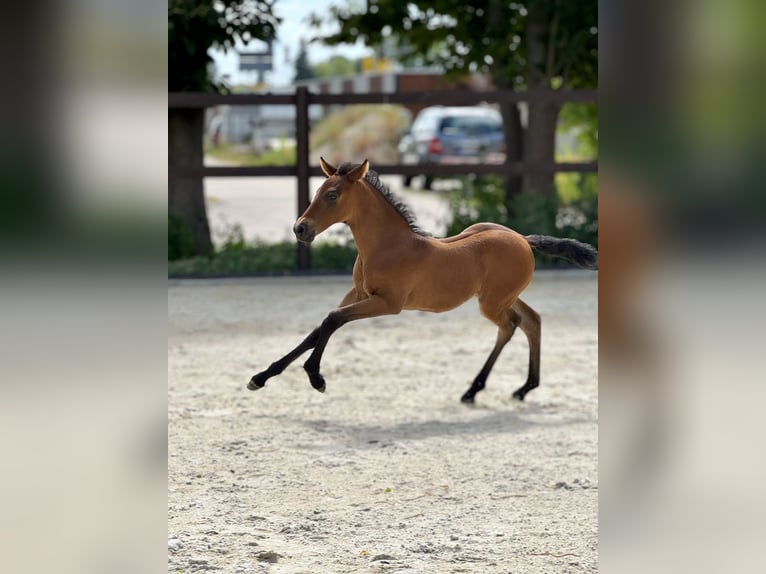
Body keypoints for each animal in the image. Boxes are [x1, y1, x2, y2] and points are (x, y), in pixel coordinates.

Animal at [248, 158, 597, 403]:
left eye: (332, 195)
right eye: (317, 193)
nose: (300, 229)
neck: (387, 246)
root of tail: (523, 239)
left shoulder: (388, 303)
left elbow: (332, 320)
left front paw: (315, 377)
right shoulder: (357, 294)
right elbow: (318, 328)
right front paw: (261, 377)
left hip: (492, 302)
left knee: (510, 326)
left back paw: (478, 389)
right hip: (501, 296)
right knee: (531, 321)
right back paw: (519, 389)